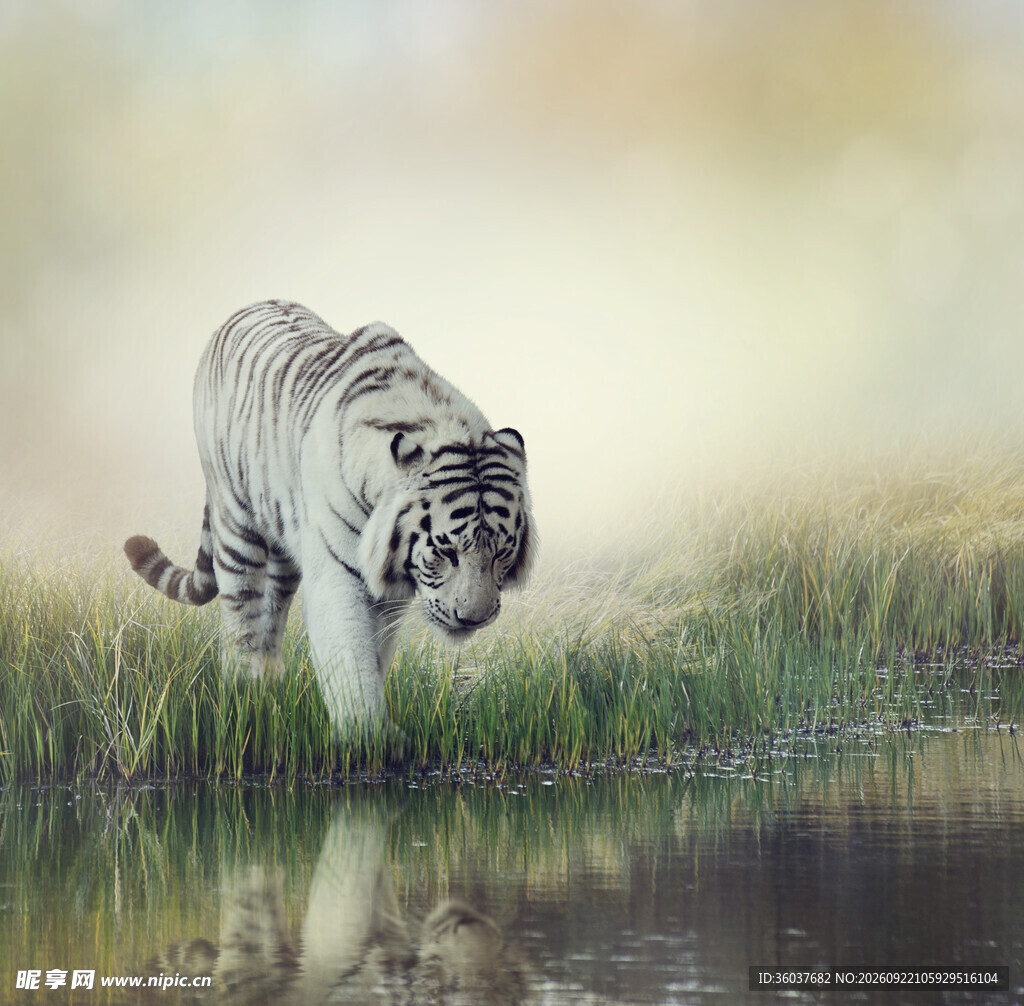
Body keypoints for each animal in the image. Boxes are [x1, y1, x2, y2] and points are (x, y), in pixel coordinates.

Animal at [124, 300, 535, 737]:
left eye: (501, 553)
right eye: (446, 551)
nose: (473, 618)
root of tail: (246, 308)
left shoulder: (388, 593)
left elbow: (375, 653)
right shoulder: (337, 576)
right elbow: (350, 655)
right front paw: (366, 735)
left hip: (285, 544)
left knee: (272, 612)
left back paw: (271, 683)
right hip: (235, 523)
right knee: (241, 614)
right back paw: (244, 690)